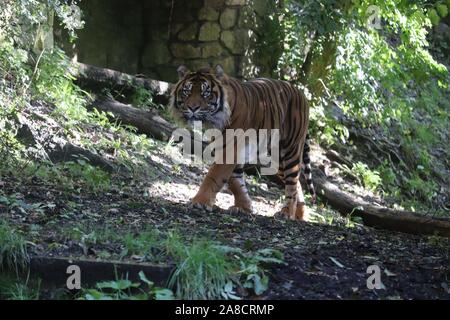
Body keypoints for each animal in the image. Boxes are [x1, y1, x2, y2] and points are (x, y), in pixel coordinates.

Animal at [170, 64, 316, 220]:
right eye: (186, 91)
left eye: (205, 93)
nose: (192, 108)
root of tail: (300, 93)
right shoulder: (227, 150)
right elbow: (235, 182)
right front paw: (244, 207)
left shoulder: (230, 149)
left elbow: (214, 176)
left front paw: (199, 201)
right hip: (277, 160)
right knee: (296, 182)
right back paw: (299, 214)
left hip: (290, 150)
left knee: (292, 182)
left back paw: (287, 212)